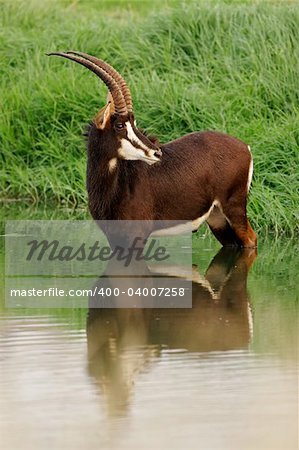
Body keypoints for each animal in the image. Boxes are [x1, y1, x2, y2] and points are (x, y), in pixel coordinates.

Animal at [48, 51, 258, 248]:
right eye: (120, 125)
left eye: (134, 124)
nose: (156, 153)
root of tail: (245, 148)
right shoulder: (114, 237)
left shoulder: (137, 236)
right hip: (217, 218)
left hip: (234, 207)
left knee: (251, 239)